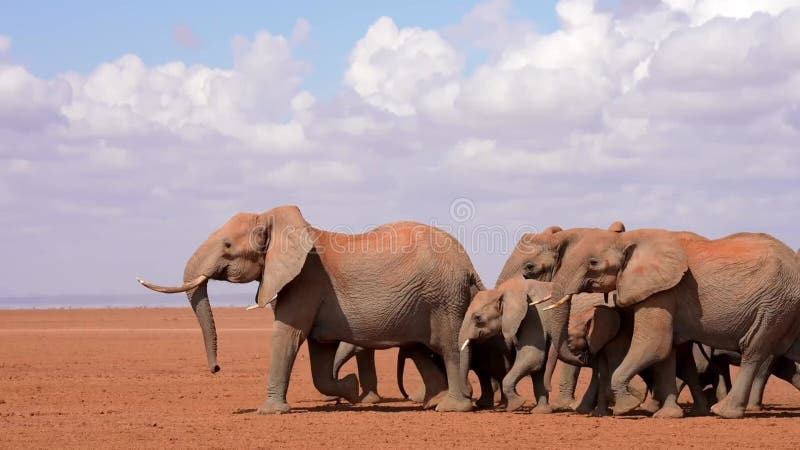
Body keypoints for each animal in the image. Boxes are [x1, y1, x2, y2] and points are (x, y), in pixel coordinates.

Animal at [136, 206, 482, 414]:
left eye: (227, 247)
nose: (216, 369)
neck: (272, 219)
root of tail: (469, 266)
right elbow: (320, 355)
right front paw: (350, 391)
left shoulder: (305, 282)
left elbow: (287, 336)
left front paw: (269, 412)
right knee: (422, 350)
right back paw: (433, 403)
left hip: (444, 299)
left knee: (449, 348)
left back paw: (452, 408)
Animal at [544, 229, 800, 418]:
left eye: (593, 262)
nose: (582, 355)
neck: (628, 239)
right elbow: (667, 351)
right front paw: (666, 415)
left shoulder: (662, 292)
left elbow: (654, 344)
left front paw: (627, 407)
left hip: (775, 305)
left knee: (754, 350)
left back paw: (724, 411)